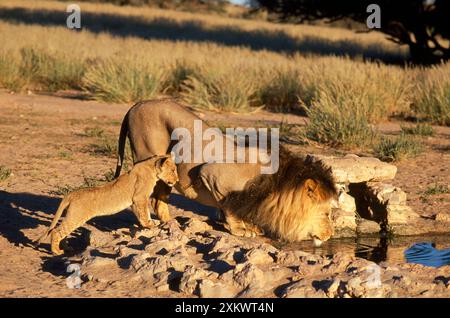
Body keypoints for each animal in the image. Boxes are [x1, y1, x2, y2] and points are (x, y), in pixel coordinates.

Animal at [35, 155, 178, 256]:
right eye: (172, 170)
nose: (176, 180)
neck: (152, 168)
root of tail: (72, 194)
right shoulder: (139, 198)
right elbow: (144, 213)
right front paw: (150, 224)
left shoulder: (135, 202)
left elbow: (143, 214)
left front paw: (150, 223)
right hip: (76, 216)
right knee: (56, 231)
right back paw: (57, 251)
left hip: (73, 216)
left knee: (62, 232)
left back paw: (66, 247)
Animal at [114, 99, 336, 243]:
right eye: (326, 213)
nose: (331, 235)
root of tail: (136, 105)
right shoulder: (213, 174)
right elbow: (229, 206)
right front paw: (240, 230)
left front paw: (251, 226)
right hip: (149, 154)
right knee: (143, 197)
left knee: (158, 199)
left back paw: (170, 223)